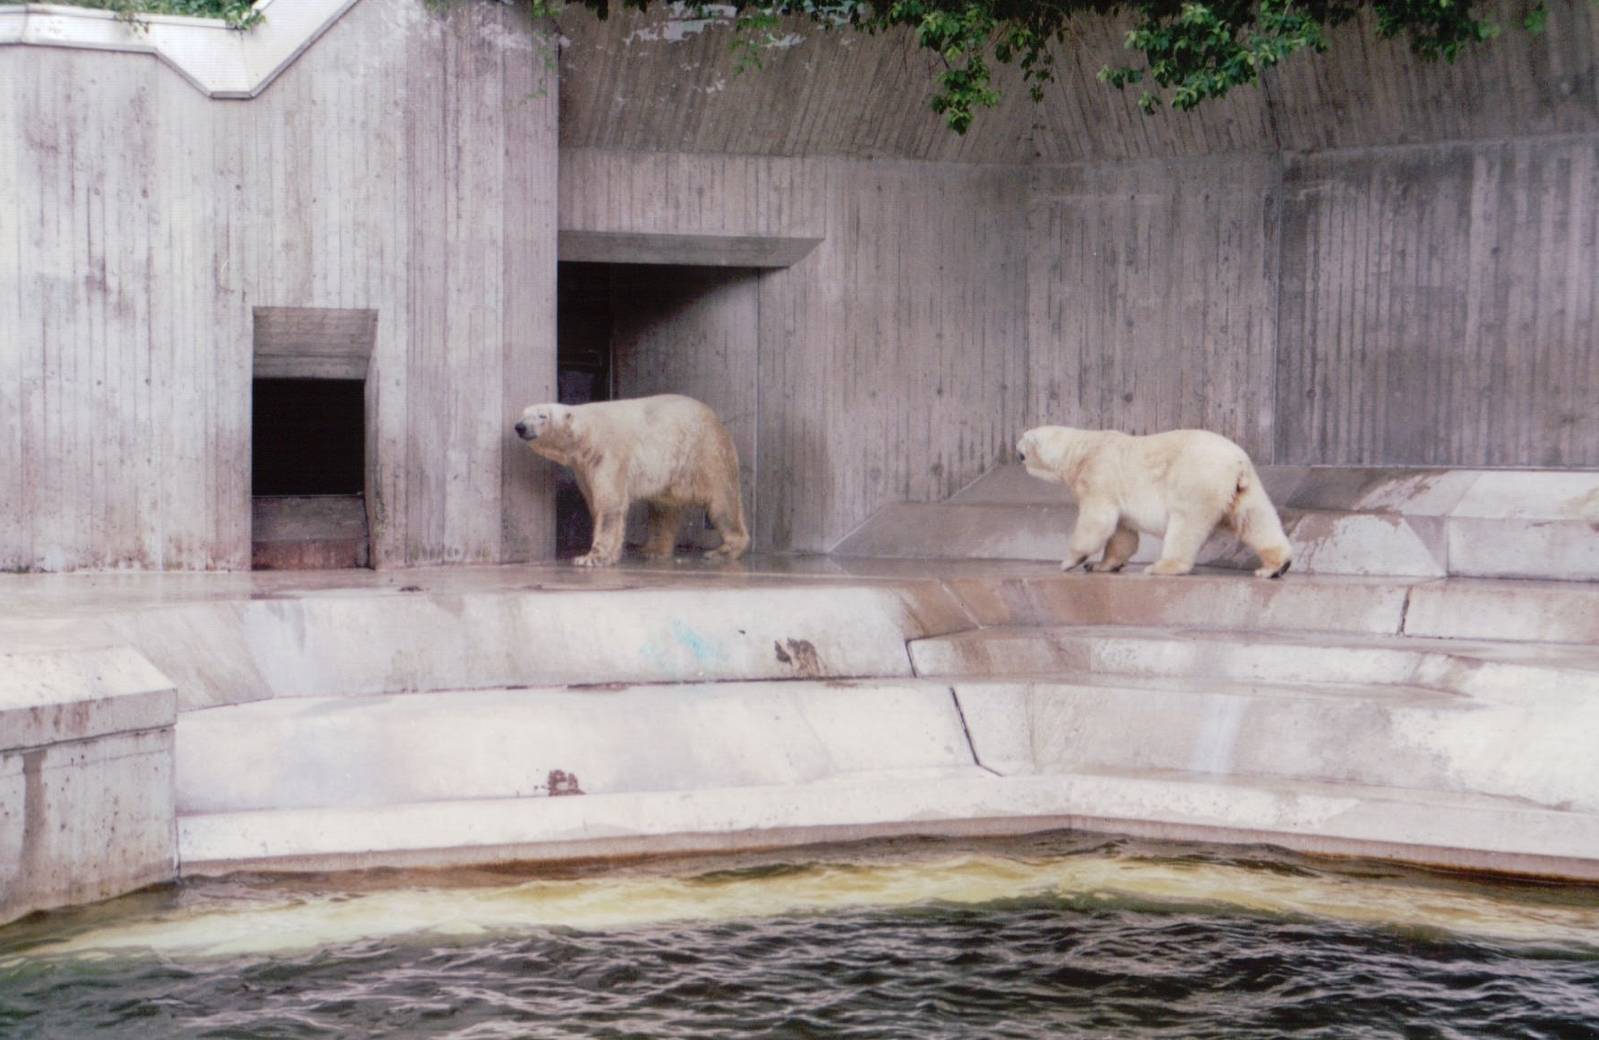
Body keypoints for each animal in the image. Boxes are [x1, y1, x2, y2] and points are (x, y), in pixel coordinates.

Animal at [515, 394, 750, 567]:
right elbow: (596, 503)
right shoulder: (582, 467)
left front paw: (590, 558)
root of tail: (717, 421)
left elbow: (610, 503)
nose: (520, 426)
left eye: (542, 416)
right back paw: (654, 550)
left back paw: (722, 551)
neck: (587, 435)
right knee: (664, 509)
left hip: (706, 454)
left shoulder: (608, 454)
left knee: (723, 503)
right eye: (523, 414)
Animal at [1016, 426, 1292, 578]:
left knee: (1185, 525)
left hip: (1196, 480)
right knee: (1255, 521)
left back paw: (1162, 566)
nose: (1016, 450)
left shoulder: (1099, 474)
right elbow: (1122, 533)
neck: (1081, 449)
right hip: (1245, 489)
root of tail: (1237, 462)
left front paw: (1070, 561)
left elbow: (1097, 521)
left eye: (1022, 438)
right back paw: (1275, 566)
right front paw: (1101, 565)